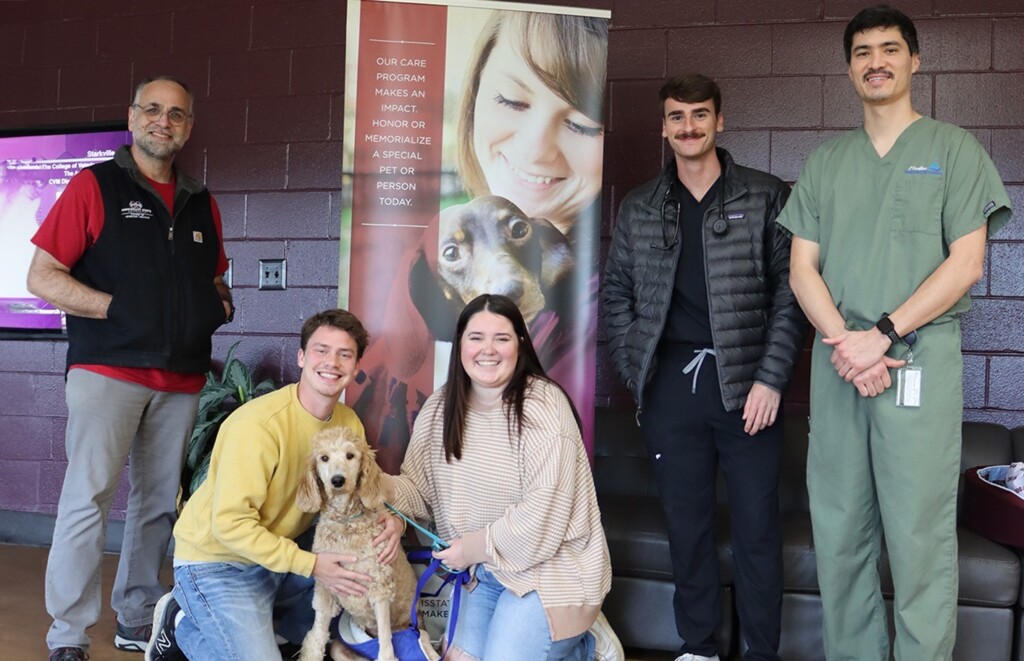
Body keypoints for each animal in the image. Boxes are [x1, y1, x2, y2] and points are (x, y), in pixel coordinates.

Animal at [296, 427, 423, 658]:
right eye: (324, 458)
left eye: (350, 455)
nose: (337, 480)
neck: (346, 521)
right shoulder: (326, 585)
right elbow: (317, 636)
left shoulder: (379, 587)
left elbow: (385, 640)